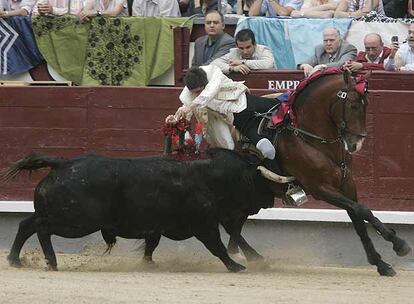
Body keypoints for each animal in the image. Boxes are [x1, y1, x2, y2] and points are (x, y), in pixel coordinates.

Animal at [4, 148, 274, 272]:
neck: (206, 177)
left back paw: (15, 260)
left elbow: (151, 245)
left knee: (26, 224)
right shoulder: (204, 225)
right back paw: (51, 261)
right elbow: (217, 246)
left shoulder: (156, 226)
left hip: (57, 214)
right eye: (258, 181)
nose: (271, 201)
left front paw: (148, 264)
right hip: (77, 222)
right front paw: (236, 266)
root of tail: (63, 164)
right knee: (42, 228)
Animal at [226, 68, 410, 276]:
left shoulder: (347, 185)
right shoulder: (319, 188)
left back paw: (248, 257)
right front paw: (398, 243)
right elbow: (362, 210)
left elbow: (358, 218)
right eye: (353, 105)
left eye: (367, 104)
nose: (357, 143)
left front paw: (381, 263)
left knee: (234, 223)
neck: (315, 140)